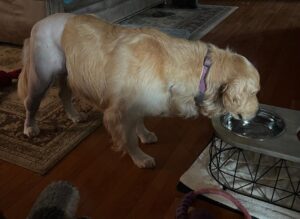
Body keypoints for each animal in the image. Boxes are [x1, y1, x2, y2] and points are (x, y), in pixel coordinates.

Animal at [17, 13, 260, 168]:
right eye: (254, 93)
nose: (257, 113)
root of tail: (38, 23)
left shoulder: (138, 104)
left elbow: (139, 122)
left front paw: (144, 134)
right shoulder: (118, 111)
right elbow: (129, 139)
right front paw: (140, 158)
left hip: (68, 74)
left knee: (63, 95)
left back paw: (74, 115)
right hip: (40, 77)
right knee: (31, 104)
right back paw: (30, 128)